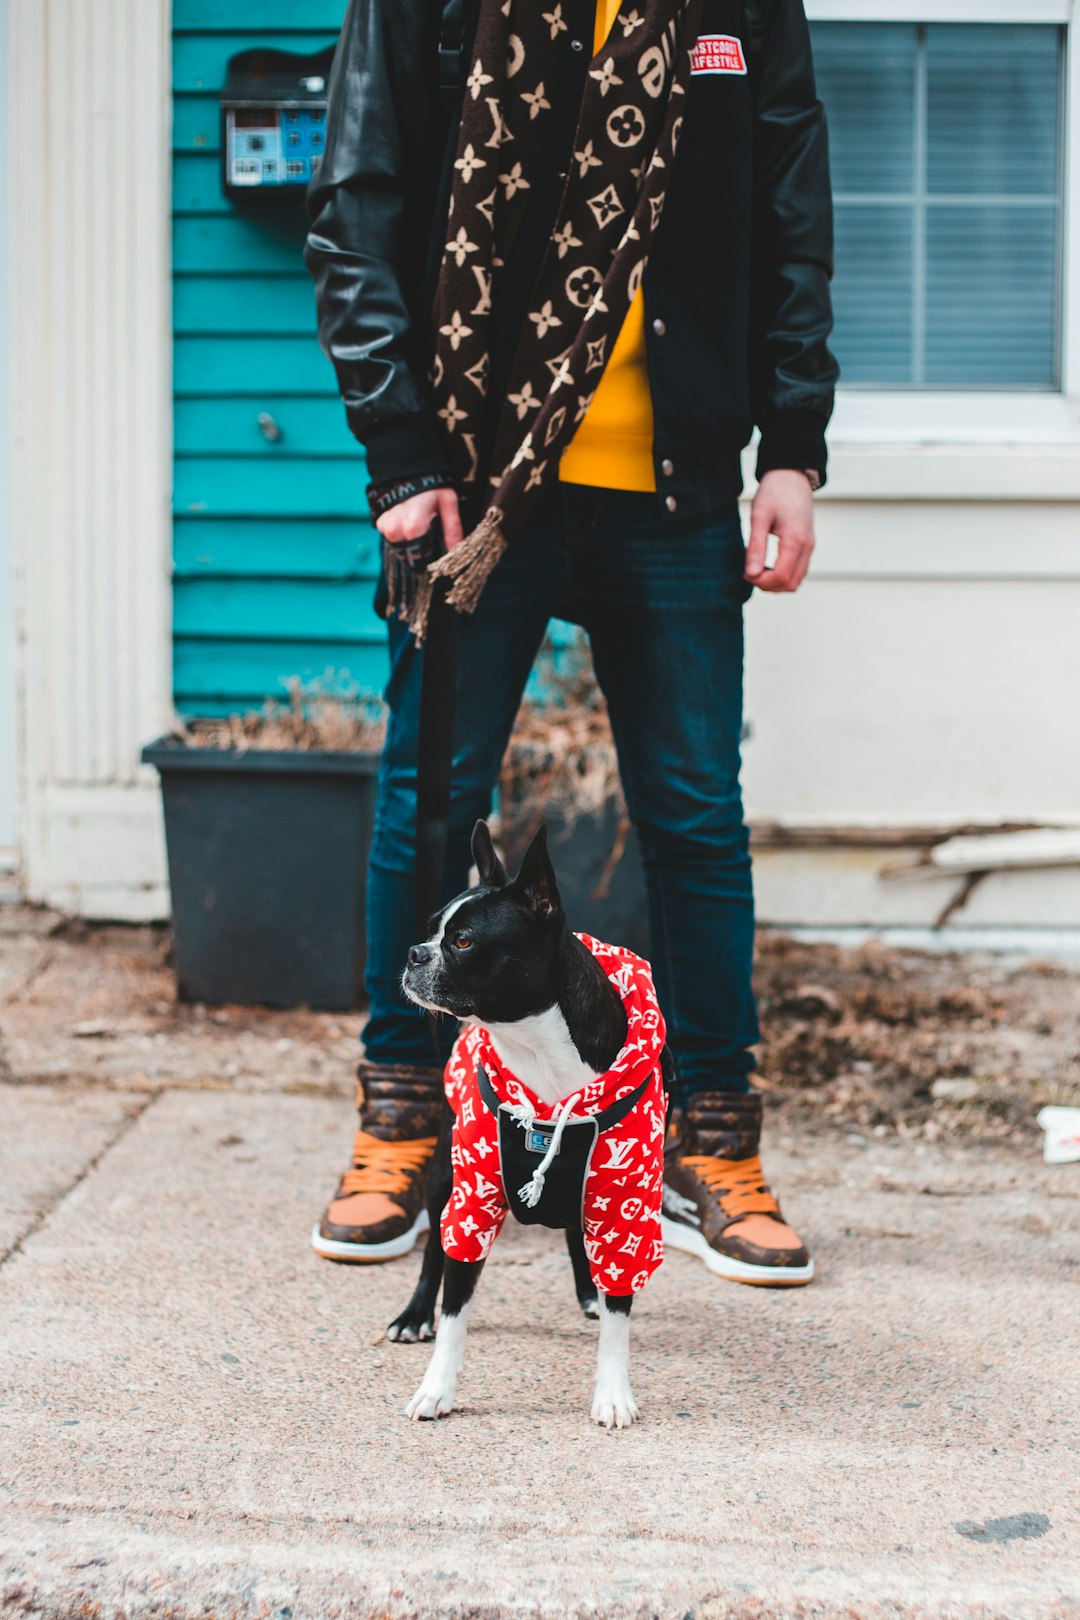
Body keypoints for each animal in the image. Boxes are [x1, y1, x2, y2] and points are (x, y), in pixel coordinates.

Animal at [388, 822, 676, 1432]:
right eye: (430, 931)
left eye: (463, 942)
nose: (414, 953)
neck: (538, 1050)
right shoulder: (472, 1203)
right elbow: (454, 1311)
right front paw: (436, 1387)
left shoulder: (624, 1208)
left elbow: (619, 1319)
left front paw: (613, 1392)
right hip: (443, 1176)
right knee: (432, 1254)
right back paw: (414, 1314)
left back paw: (589, 1291)